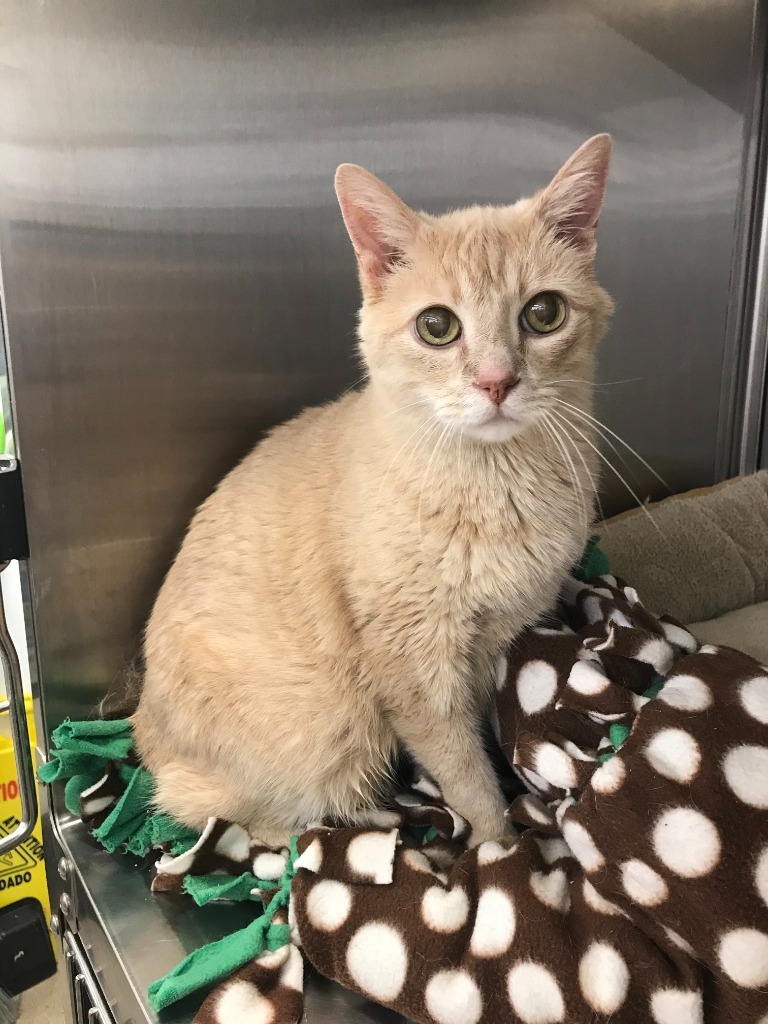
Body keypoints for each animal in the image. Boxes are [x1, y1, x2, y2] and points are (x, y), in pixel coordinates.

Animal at [132, 132, 614, 843]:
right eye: (437, 326)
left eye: (544, 313)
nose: (496, 382)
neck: (494, 484)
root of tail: (137, 726)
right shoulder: (415, 667)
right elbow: (463, 771)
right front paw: (498, 845)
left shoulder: (488, 645)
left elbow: (484, 733)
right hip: (327, 740)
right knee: (251, 824)